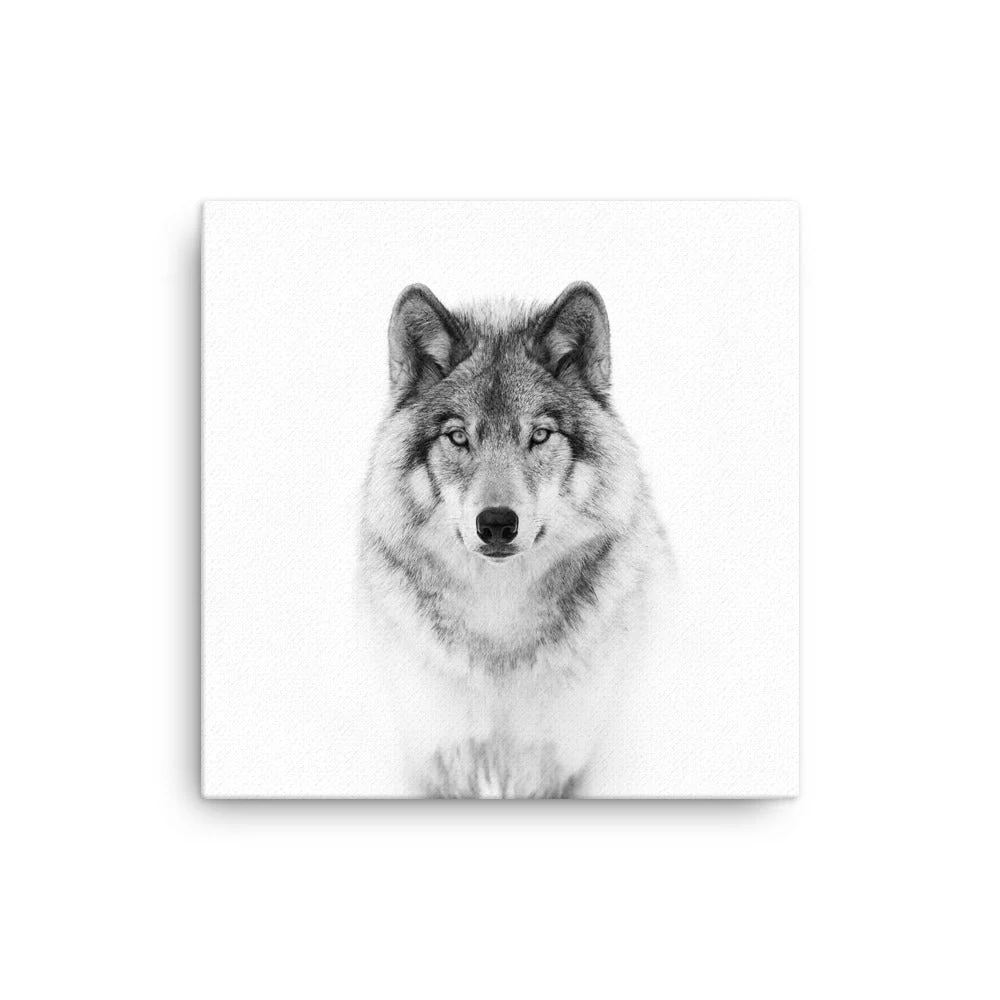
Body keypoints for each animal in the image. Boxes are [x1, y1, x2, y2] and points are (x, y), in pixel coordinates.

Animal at [357, 281, 672, 797]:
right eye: (458, 437)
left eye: (539, 435)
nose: (497, 524)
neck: (498, 623)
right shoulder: (437, 752)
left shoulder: (559, 757)